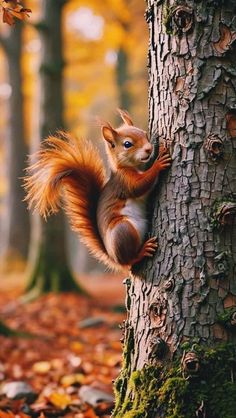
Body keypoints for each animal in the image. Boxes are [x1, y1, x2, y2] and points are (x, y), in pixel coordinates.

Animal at [24, 108, 171, 272]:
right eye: (127, 144)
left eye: (145, 134)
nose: (149, 149)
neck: (131, 167)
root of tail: (114, 259)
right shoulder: (125, 182)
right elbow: (141, 185)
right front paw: (158, 163)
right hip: (123, 231)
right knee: (129, 260)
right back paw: (142, 251)